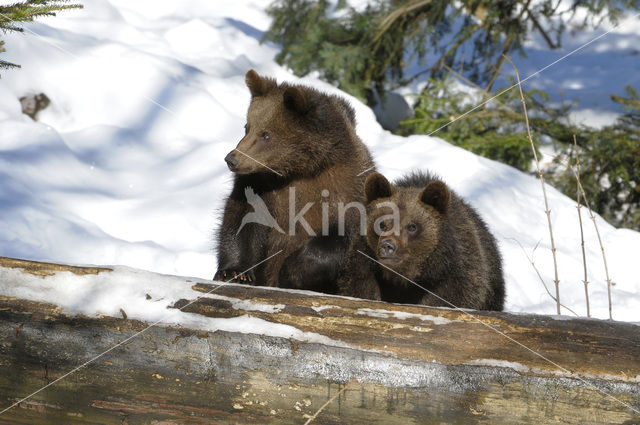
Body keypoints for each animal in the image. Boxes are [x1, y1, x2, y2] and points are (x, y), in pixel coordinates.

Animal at [216, 70, 376, 294]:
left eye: (266, 134)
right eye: (247, 127)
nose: (232, 159)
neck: (300, 169)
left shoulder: (347, 190)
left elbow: (337, 240)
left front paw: (290, 273)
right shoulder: (259, 186)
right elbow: (242, 219)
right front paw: (234, 272)